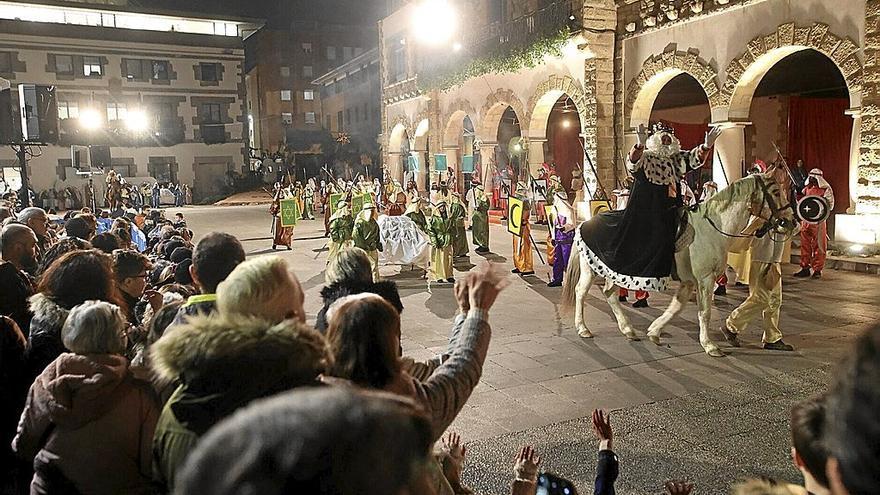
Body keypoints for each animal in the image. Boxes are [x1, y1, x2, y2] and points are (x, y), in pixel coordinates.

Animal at [564, 173, 796, 356]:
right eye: (776, 191)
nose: (791, 221)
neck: (713, 227)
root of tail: (585, 222)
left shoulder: (689, 281)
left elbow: (677, 307)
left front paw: (655, 332)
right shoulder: (705, 279)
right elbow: (705, 312)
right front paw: (710, 346)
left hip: (613, 271)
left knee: (610, 293)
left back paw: (628, 330)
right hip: (591, 270)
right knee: (581, 291)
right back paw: (583, 328)